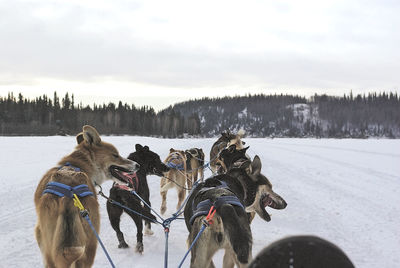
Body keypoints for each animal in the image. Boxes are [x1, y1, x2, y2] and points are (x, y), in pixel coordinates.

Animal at [33, 125, 139, 268]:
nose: (137, 165)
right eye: (115, 155)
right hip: (90, 245)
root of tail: (68, 195)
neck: (78, 165)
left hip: (53, 252)